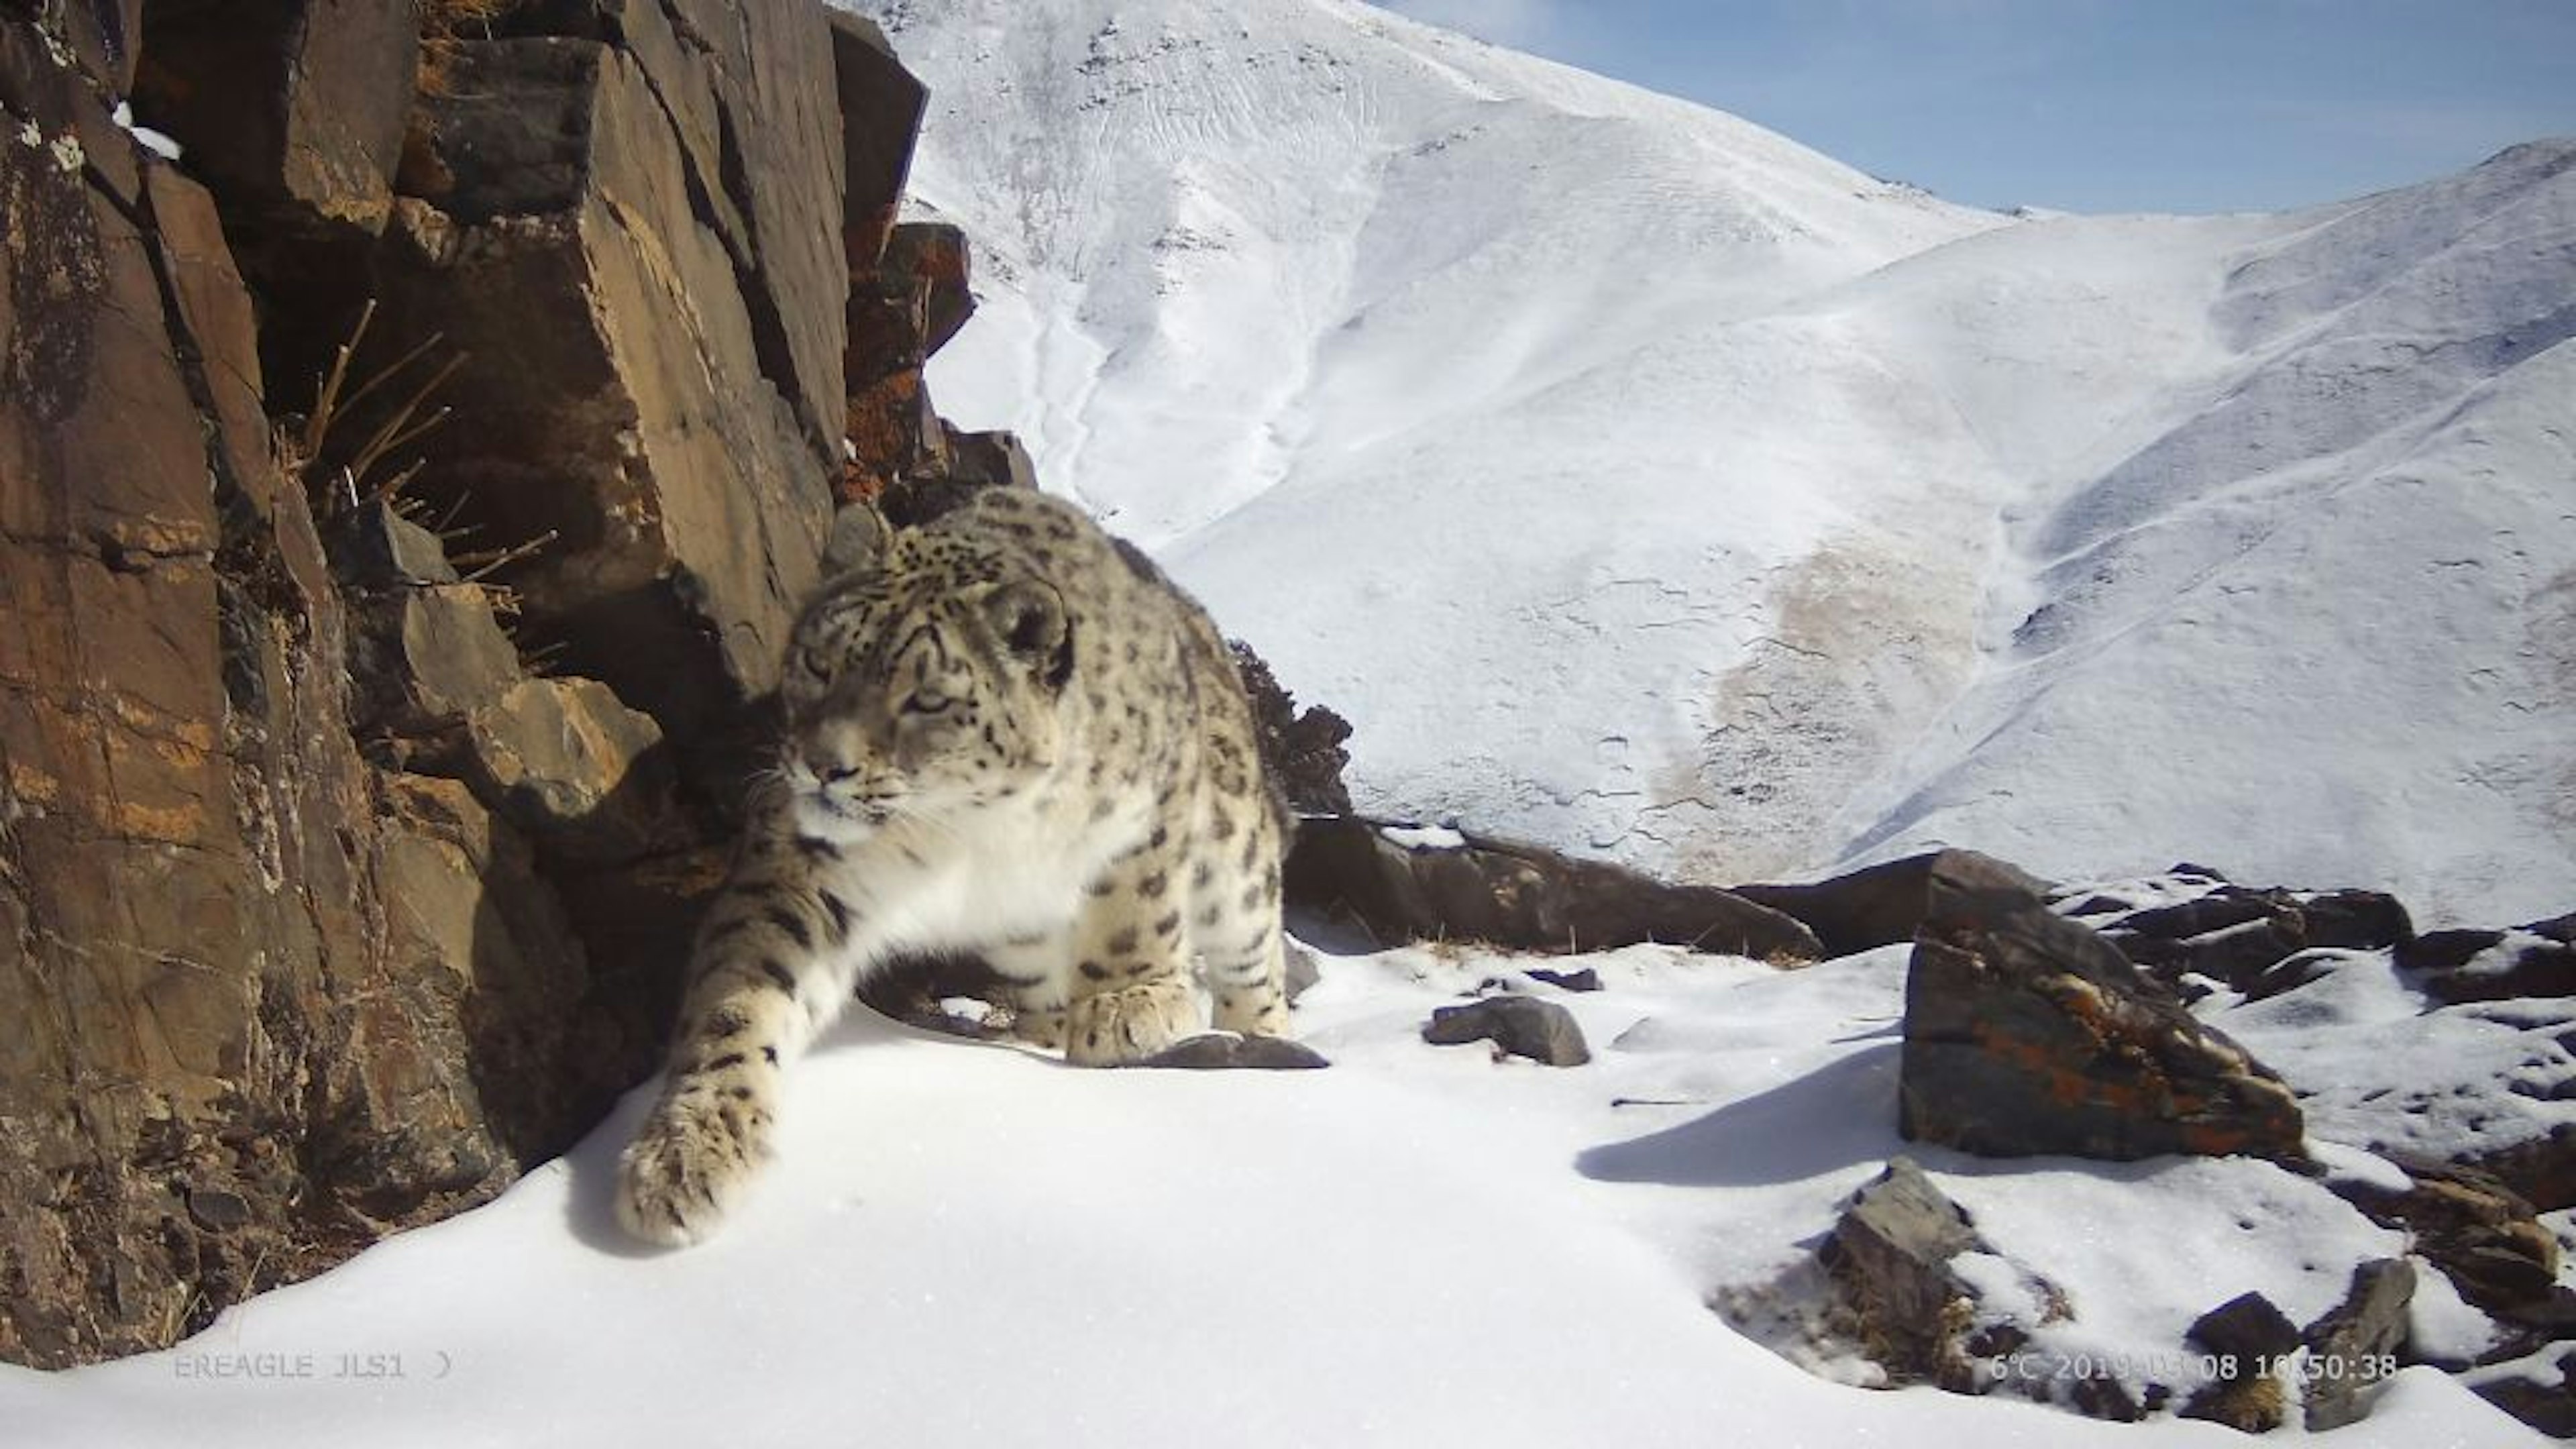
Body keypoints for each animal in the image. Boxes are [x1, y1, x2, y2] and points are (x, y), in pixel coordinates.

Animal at [615, 484, 1298, 1242]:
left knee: (1254, 960)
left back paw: (1259, 1037)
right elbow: (742, 997)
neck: (977, 831)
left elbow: (1134, 911)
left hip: (1235, 860)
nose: (824, 767)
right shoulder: (803, 870)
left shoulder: (1150, 811)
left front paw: (1128, 1006)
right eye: (820, 663)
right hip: (1020, 941)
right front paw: (689, 1149)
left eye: (929, 699)